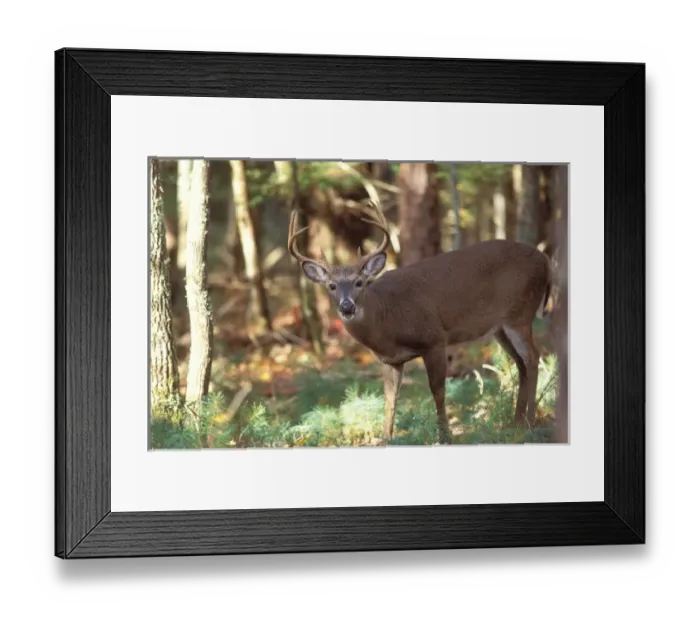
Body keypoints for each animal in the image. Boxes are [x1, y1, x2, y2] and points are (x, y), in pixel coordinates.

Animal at [288, 201, 553, 446]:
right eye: (331, 286)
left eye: (359, 282)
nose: (347, 307)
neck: (386, 319)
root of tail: (545, 259)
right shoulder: (391, 360)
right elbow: (390, 398)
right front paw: (386, 438)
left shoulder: (434, 338)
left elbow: (438, 390)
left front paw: (444, 436)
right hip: (500, 327)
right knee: (520, 363)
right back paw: (516, 422)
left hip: (519, 313)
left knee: (533, 357)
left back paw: (529, 422)